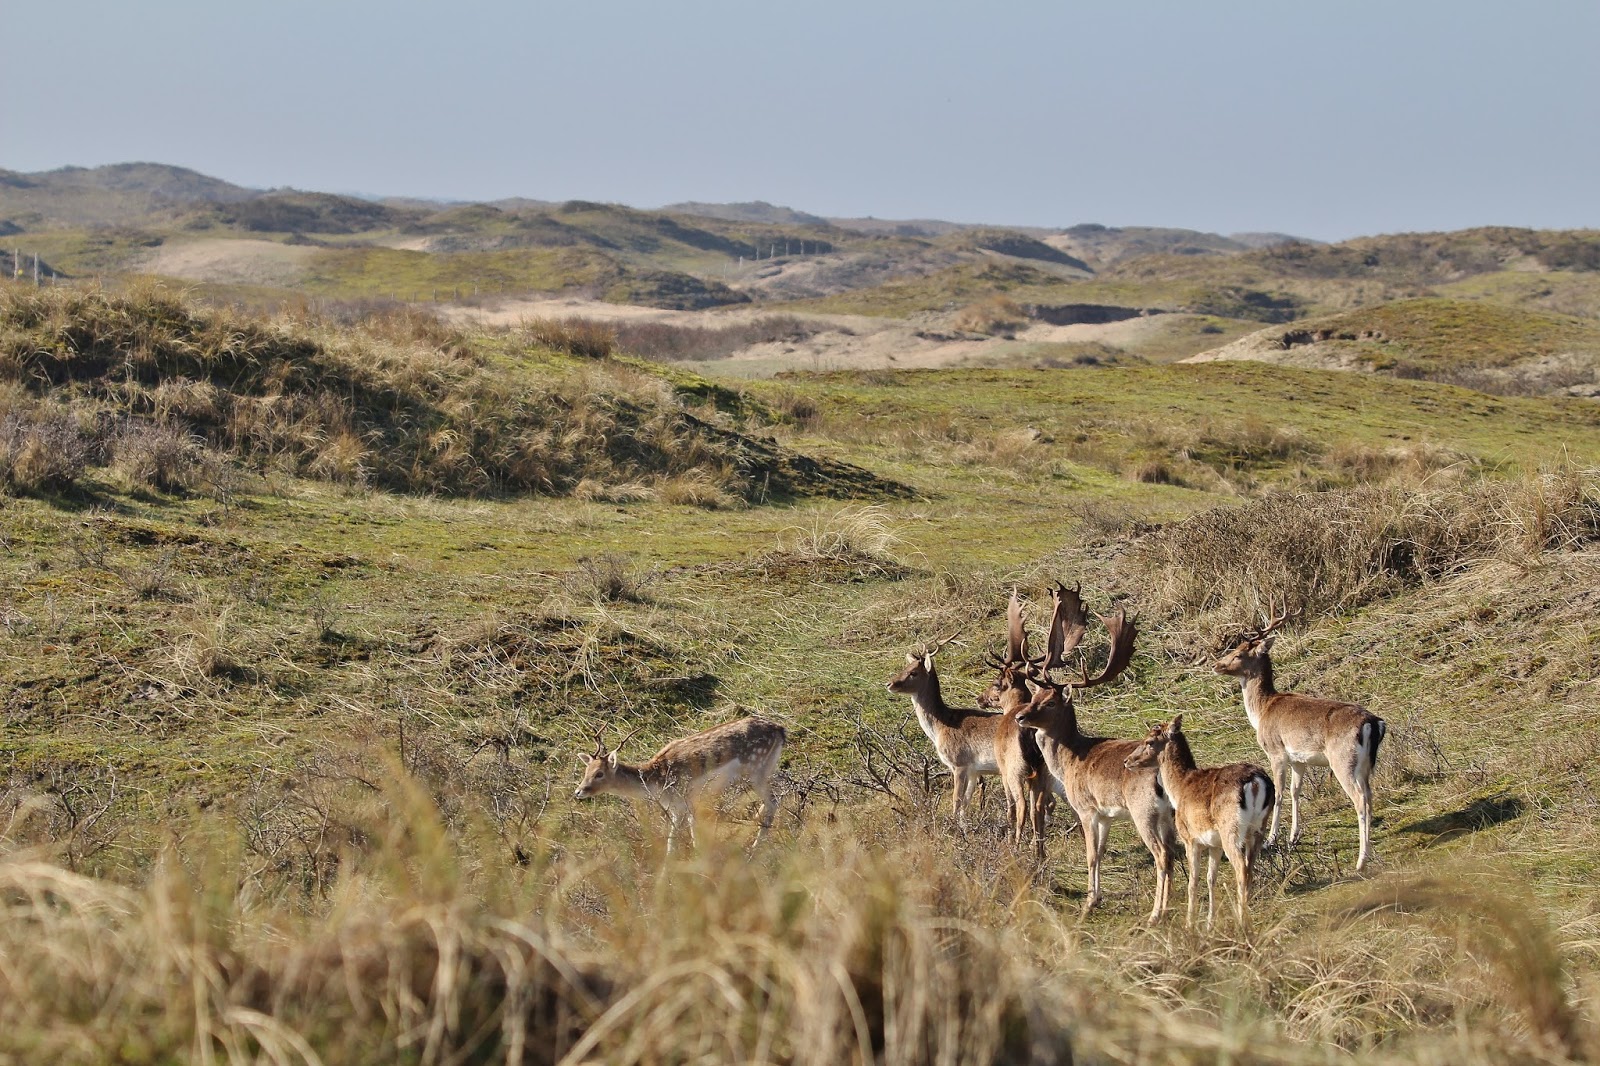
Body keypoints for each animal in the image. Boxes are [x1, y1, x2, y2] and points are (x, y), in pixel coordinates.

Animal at [572, 715, 787, 853]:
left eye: (599, 773)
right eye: (585, 771)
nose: (578, 791)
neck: (656, 782)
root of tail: (780, 730)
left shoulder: (680, 803)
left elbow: (672, 842)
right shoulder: (689, 803)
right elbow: (694, 832)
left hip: (756, 769)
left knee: (773, 801)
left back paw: (755, 849)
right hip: (763, 769)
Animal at [1011, 584, 1179, 922]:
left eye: (1051, 702)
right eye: (1034, 695)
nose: (1020, 717)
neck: (1071, 758)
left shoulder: (1086, 807)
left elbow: (1090, 855)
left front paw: (1089, 903)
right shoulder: (1106, 814)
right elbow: (1099, 853)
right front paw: (1096, 897)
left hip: (1143, 810)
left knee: (1163, 855)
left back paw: (1156, 914)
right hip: (1169, 815)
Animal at [1124, 715, 1274, 930]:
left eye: (1149, 741)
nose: (1127, 760)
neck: (1178, 789)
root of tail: (1255, 782)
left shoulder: (1190, 838)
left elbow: (1193, 880)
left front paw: (1190, 923)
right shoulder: (1214, 844)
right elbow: (1211, 878)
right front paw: (1210, 923)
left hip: (1231, 829)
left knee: (1241, 869)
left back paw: (1240, 921)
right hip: (1258, 828)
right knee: (1249, 867)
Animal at [1213, 608, 1387, 871]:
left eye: (1239, 653)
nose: (1216, 665)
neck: (1262, 711)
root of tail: (1374, 723)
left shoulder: (1276, 751)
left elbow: (1280, 793)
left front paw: (1271, 840)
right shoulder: (1299, 759)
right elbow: (1296, 791)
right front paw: (1294, 837)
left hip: (1343, 761)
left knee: (1360, 800)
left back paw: (1361, 860)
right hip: (1365, 766)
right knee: (1369, 795)